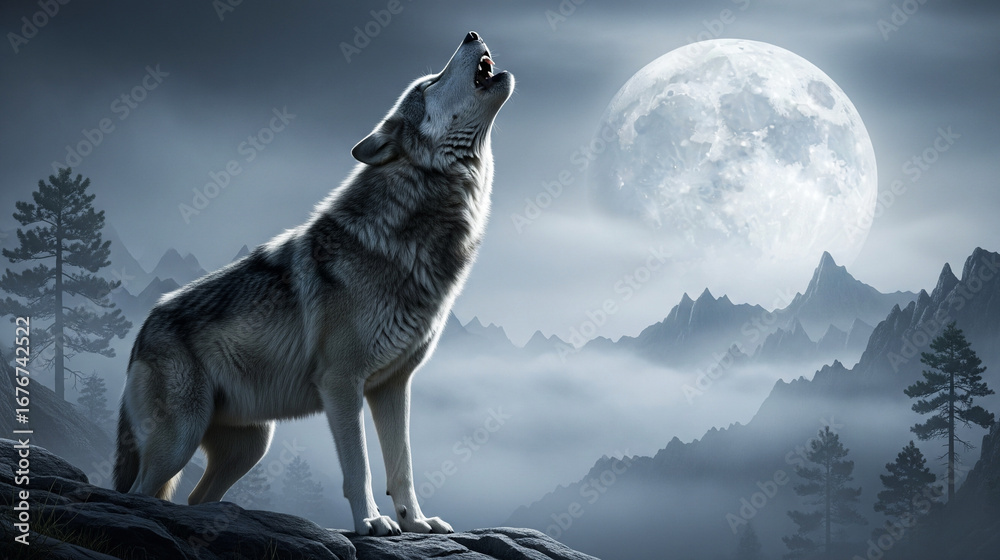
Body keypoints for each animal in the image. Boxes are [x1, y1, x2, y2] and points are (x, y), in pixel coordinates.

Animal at [113, 31, 513, 536]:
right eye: (429, 84)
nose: (471, 34)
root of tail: (143, 329)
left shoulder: (392, 385)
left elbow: (402, 466)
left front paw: (416, 521)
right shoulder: (341, 382)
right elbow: (359, 467)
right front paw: (372, 522)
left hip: (251, 445)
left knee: (196, 497)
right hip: (180, 440)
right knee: (139, 494)